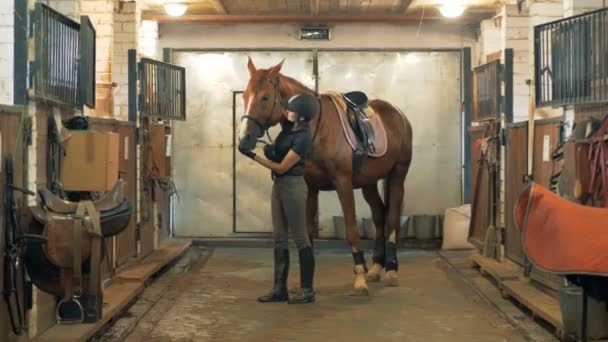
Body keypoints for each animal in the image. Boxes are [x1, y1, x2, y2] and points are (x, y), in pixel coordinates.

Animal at [238, 57, 414, 296]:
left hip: (397, 174)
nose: (243, 139)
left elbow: (351, 229)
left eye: (265, 97)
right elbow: (308, 232)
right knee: (379, 215)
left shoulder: (343, 183)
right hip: (368, 182)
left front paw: (359, 279)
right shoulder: (310, 187)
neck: (315, 127)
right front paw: (305, 283)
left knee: (392, 218)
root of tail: (399, 115)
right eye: (245, 96)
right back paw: (377, 267)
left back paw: (391, 271)